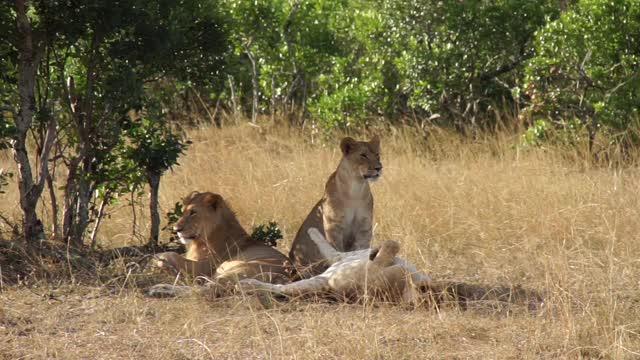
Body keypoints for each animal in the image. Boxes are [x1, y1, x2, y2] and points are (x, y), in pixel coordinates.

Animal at [149, 191, 292, 296]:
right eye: (183, 212)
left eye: (193, 212)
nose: (176, 229)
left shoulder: (203, 268)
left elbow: (172, 254)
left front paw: (157, 261)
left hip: (237, 269)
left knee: (207, 289)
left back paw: (160, 289)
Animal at [288, 135, 380, 276]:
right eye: (363, 155)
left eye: (377, 154)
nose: (379, 168)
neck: (356, 190)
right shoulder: (333, 225)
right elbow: (337, 248)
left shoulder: (364, 226)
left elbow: (361, 247)